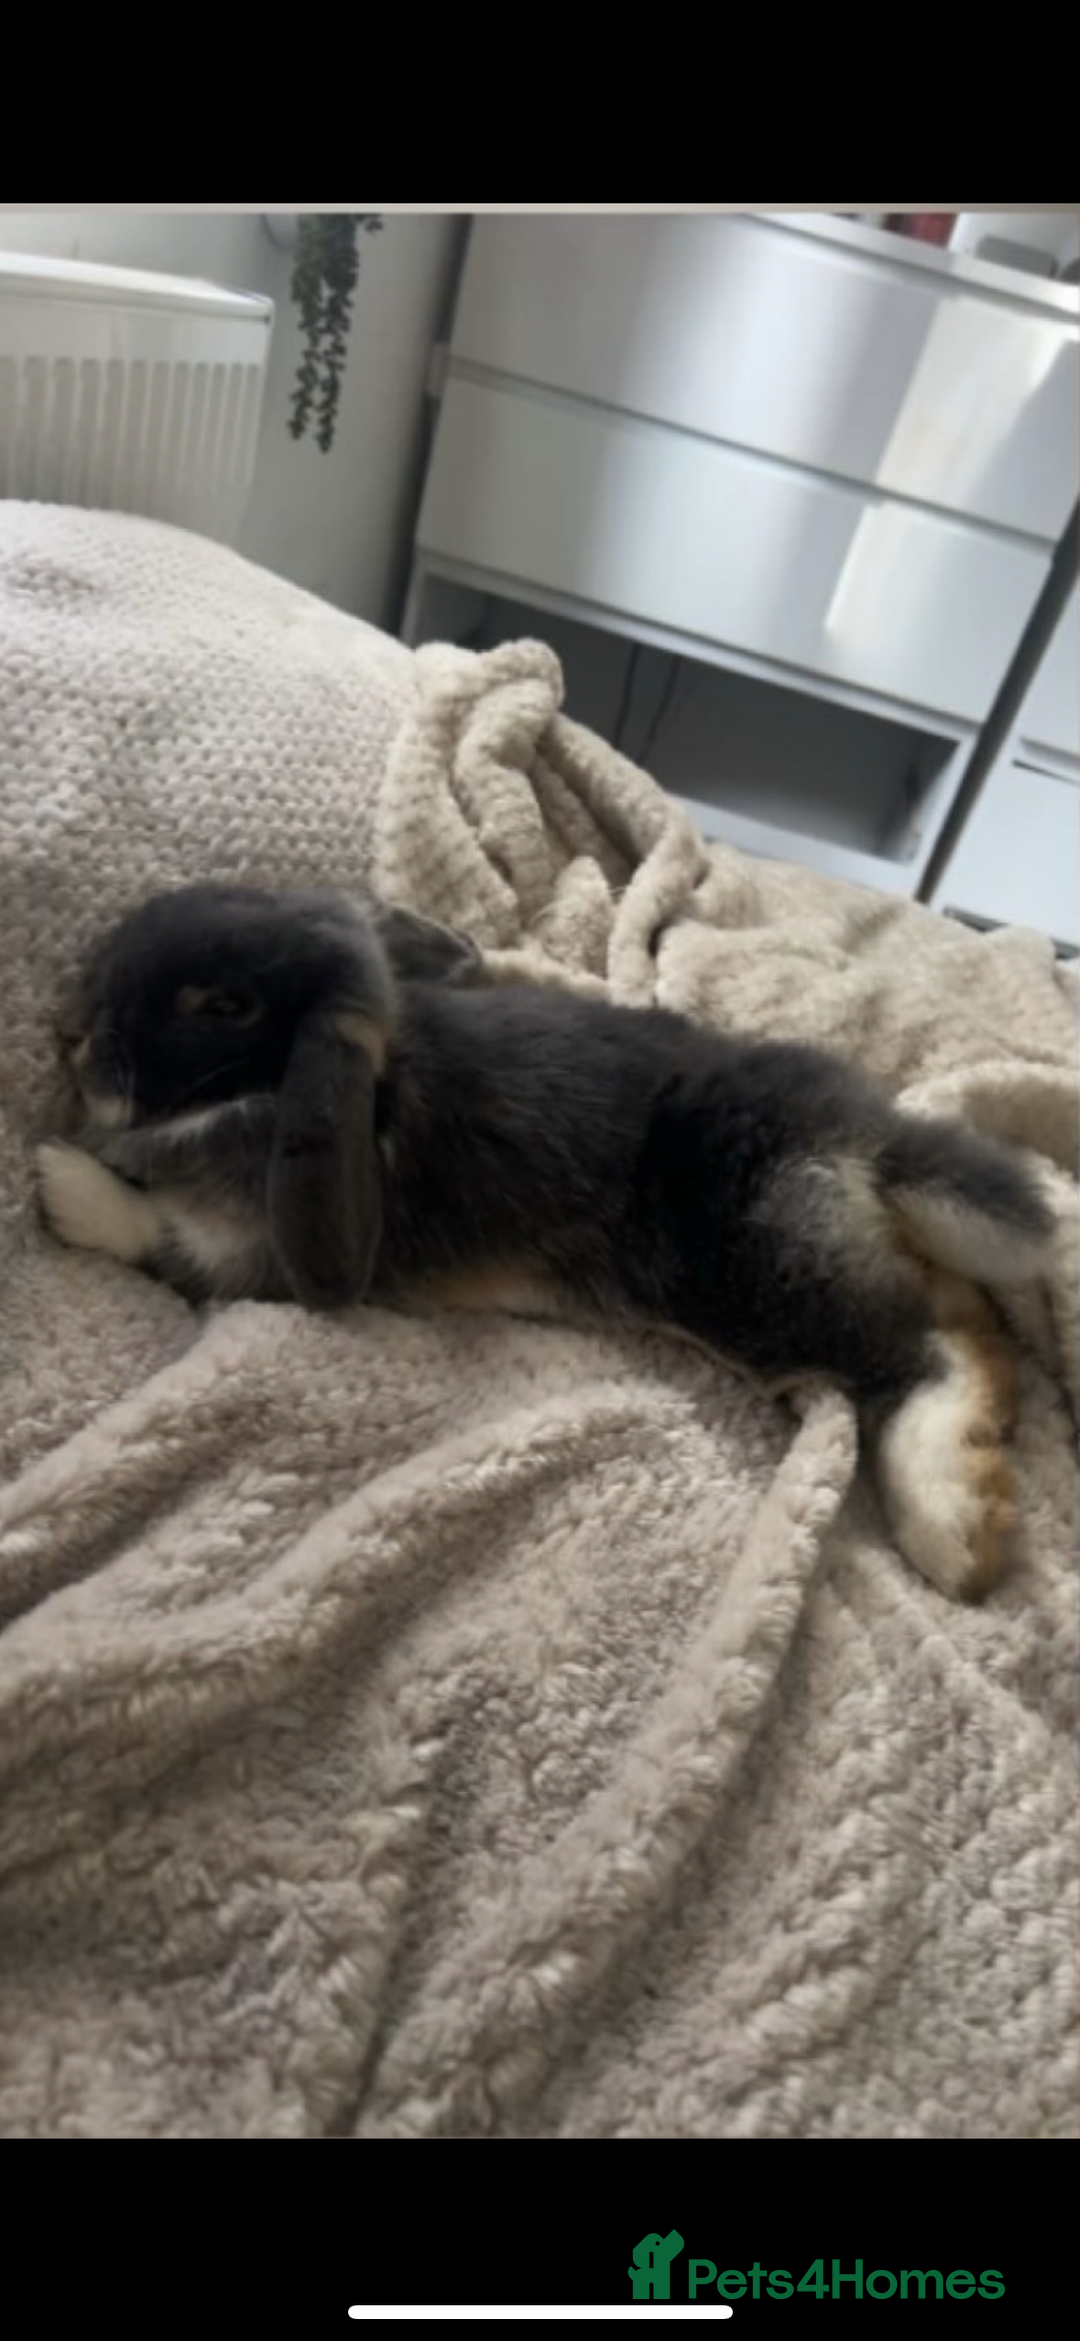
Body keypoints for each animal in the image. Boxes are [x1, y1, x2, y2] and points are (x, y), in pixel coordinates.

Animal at [37, 880, 1056, 1603]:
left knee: (926, 1348)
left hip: (757, 1274)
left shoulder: (253, 1255)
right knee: (964, 1309)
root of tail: (869, 1139)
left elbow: (160, 1236)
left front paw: (58, 1180)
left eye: (222, 1004)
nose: (70, 1029)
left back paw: (955, 1526)